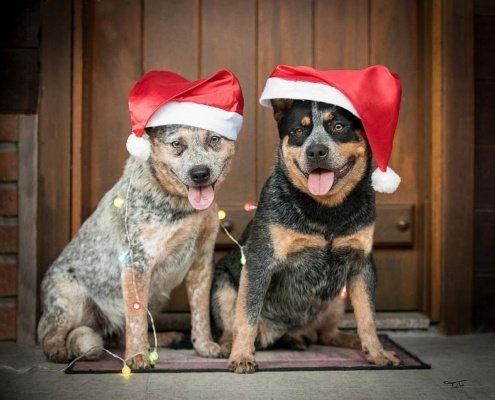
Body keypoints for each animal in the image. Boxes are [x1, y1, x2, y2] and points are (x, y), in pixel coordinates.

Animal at [37, 124, 235, 368]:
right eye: (176, 143)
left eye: (214, 139)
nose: (200, 173)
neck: (182, 206)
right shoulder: (137, 262)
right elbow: (136, 317)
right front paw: (137, 356)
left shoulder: (201, 262)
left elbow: (200, 313)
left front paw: (204, 346)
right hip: (69, 298)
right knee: (47, 333)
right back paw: (57, 350)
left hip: (157, 296)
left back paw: (163, 338)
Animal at [212, 99, 404, 372]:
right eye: (299, 131)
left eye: (338, 126)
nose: (316, 151)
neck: (326, 211)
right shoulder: (260, 262)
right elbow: (246, 316)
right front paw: (241, 356)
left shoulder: (362, 263)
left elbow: (367, 317)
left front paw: (377, 352)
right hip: (223, 284)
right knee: (233, 323)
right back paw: (229, 344)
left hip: (336, 300)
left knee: (326, 334)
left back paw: (346, 340)